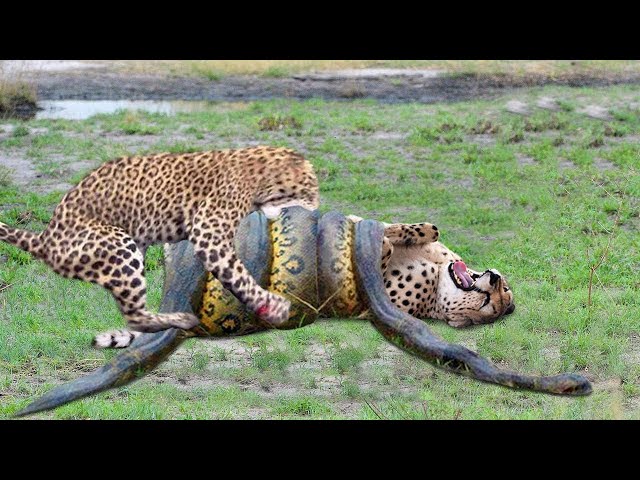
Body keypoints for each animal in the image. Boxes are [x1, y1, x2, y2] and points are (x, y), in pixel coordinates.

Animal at [0, 146, 319, 342]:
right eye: (311, 188)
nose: (317, 208)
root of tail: (44, 237)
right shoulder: (208, 233)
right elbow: (239, 275)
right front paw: (273, 306)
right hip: (119, 244)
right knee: (135, 317)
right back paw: (180, 319)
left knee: (133, 313)